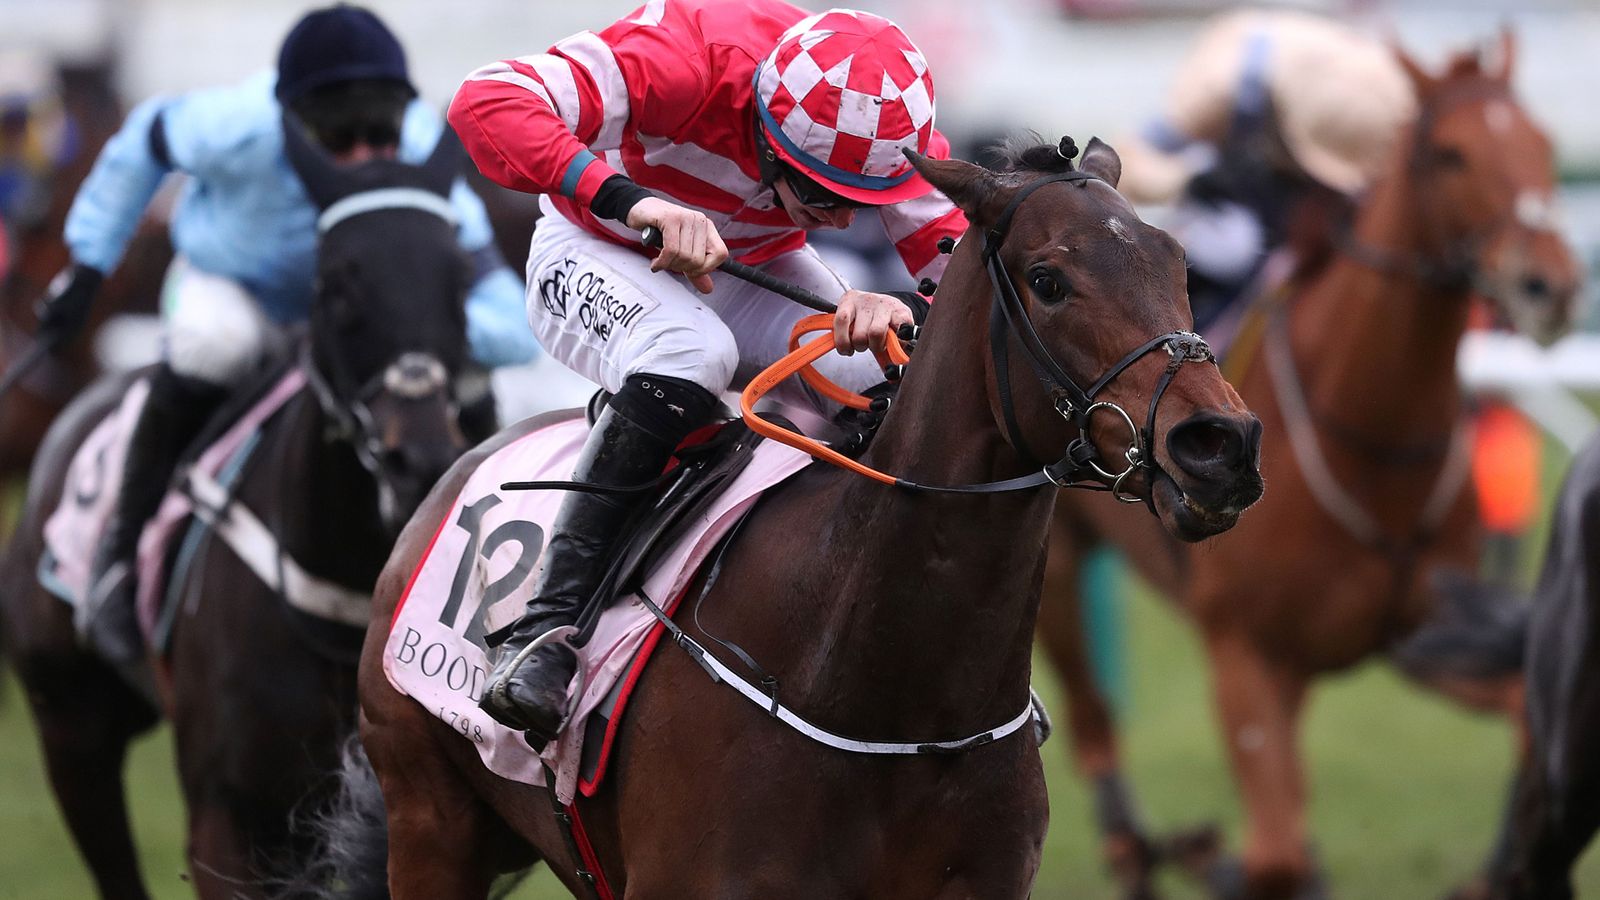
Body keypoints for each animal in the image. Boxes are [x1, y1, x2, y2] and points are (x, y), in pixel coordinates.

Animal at [1036, 31, 1574, 890]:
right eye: (1451, 154)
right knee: (1096, 731)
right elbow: (1275, 852)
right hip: (1058, 570)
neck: (1372, 444)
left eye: (1544, 144)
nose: (1548, 283)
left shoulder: (1424, 633)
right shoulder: (1244, 652)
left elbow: (1527, 715)